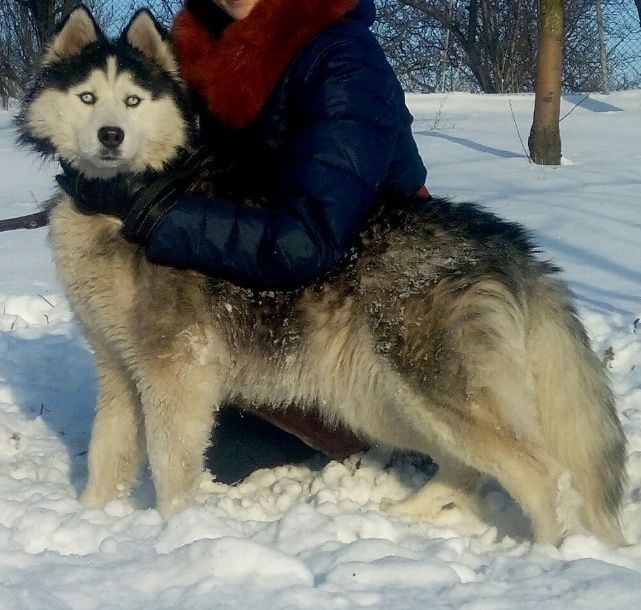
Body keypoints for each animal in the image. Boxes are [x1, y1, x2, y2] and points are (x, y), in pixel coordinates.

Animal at [16, 8, 624, 540]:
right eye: (87, 97)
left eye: (133, 100)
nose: (111, 135)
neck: (124, 199)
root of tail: (503, 239)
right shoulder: (118, 369)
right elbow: (105, 456)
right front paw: (92, 519)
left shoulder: (176, 371)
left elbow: (170, 468)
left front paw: (175, 531)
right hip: (381, 399)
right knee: (467, 468)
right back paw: (408, 512)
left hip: (428, 391)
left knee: (538, 474)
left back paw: (549, 557)